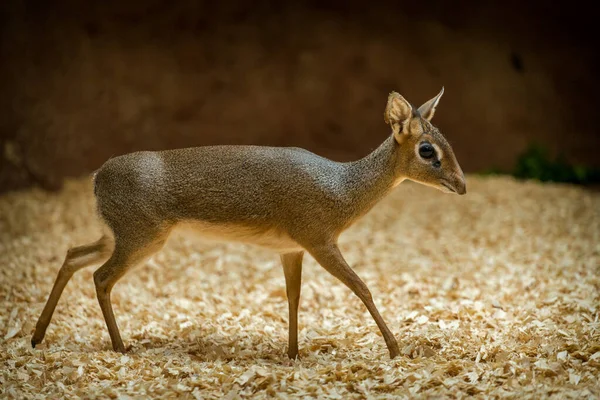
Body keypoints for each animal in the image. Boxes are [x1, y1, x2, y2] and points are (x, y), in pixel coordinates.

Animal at [31, 90, 464, 360]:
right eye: (427, 150)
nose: (461, 185)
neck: (341, 185)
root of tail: (96, 177)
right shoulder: (320, 242)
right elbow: (363, 288)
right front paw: (395, 349)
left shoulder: (292, 250)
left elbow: (293, 297)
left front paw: (292, 353)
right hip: (140, 241)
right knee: (100, 277)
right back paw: (120, 348)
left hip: (118, 238)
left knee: (73, 256)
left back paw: (37, 337)